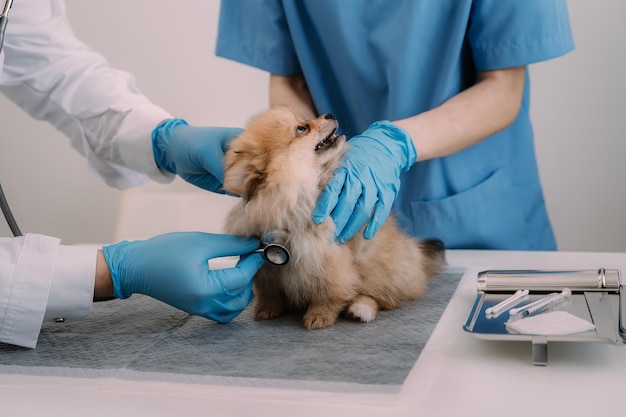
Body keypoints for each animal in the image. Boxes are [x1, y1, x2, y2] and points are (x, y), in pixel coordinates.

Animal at [221, 106, 444, 328]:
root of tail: (416, 253)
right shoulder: (267, 266)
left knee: (382, 296)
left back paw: (361, 308)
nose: (328, 114)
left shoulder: (328, 258)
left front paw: (319, 315)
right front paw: (267, 308)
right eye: (301, 128)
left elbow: (328, 290)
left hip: (376, 264)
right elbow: (269, 291)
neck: (299, 198)